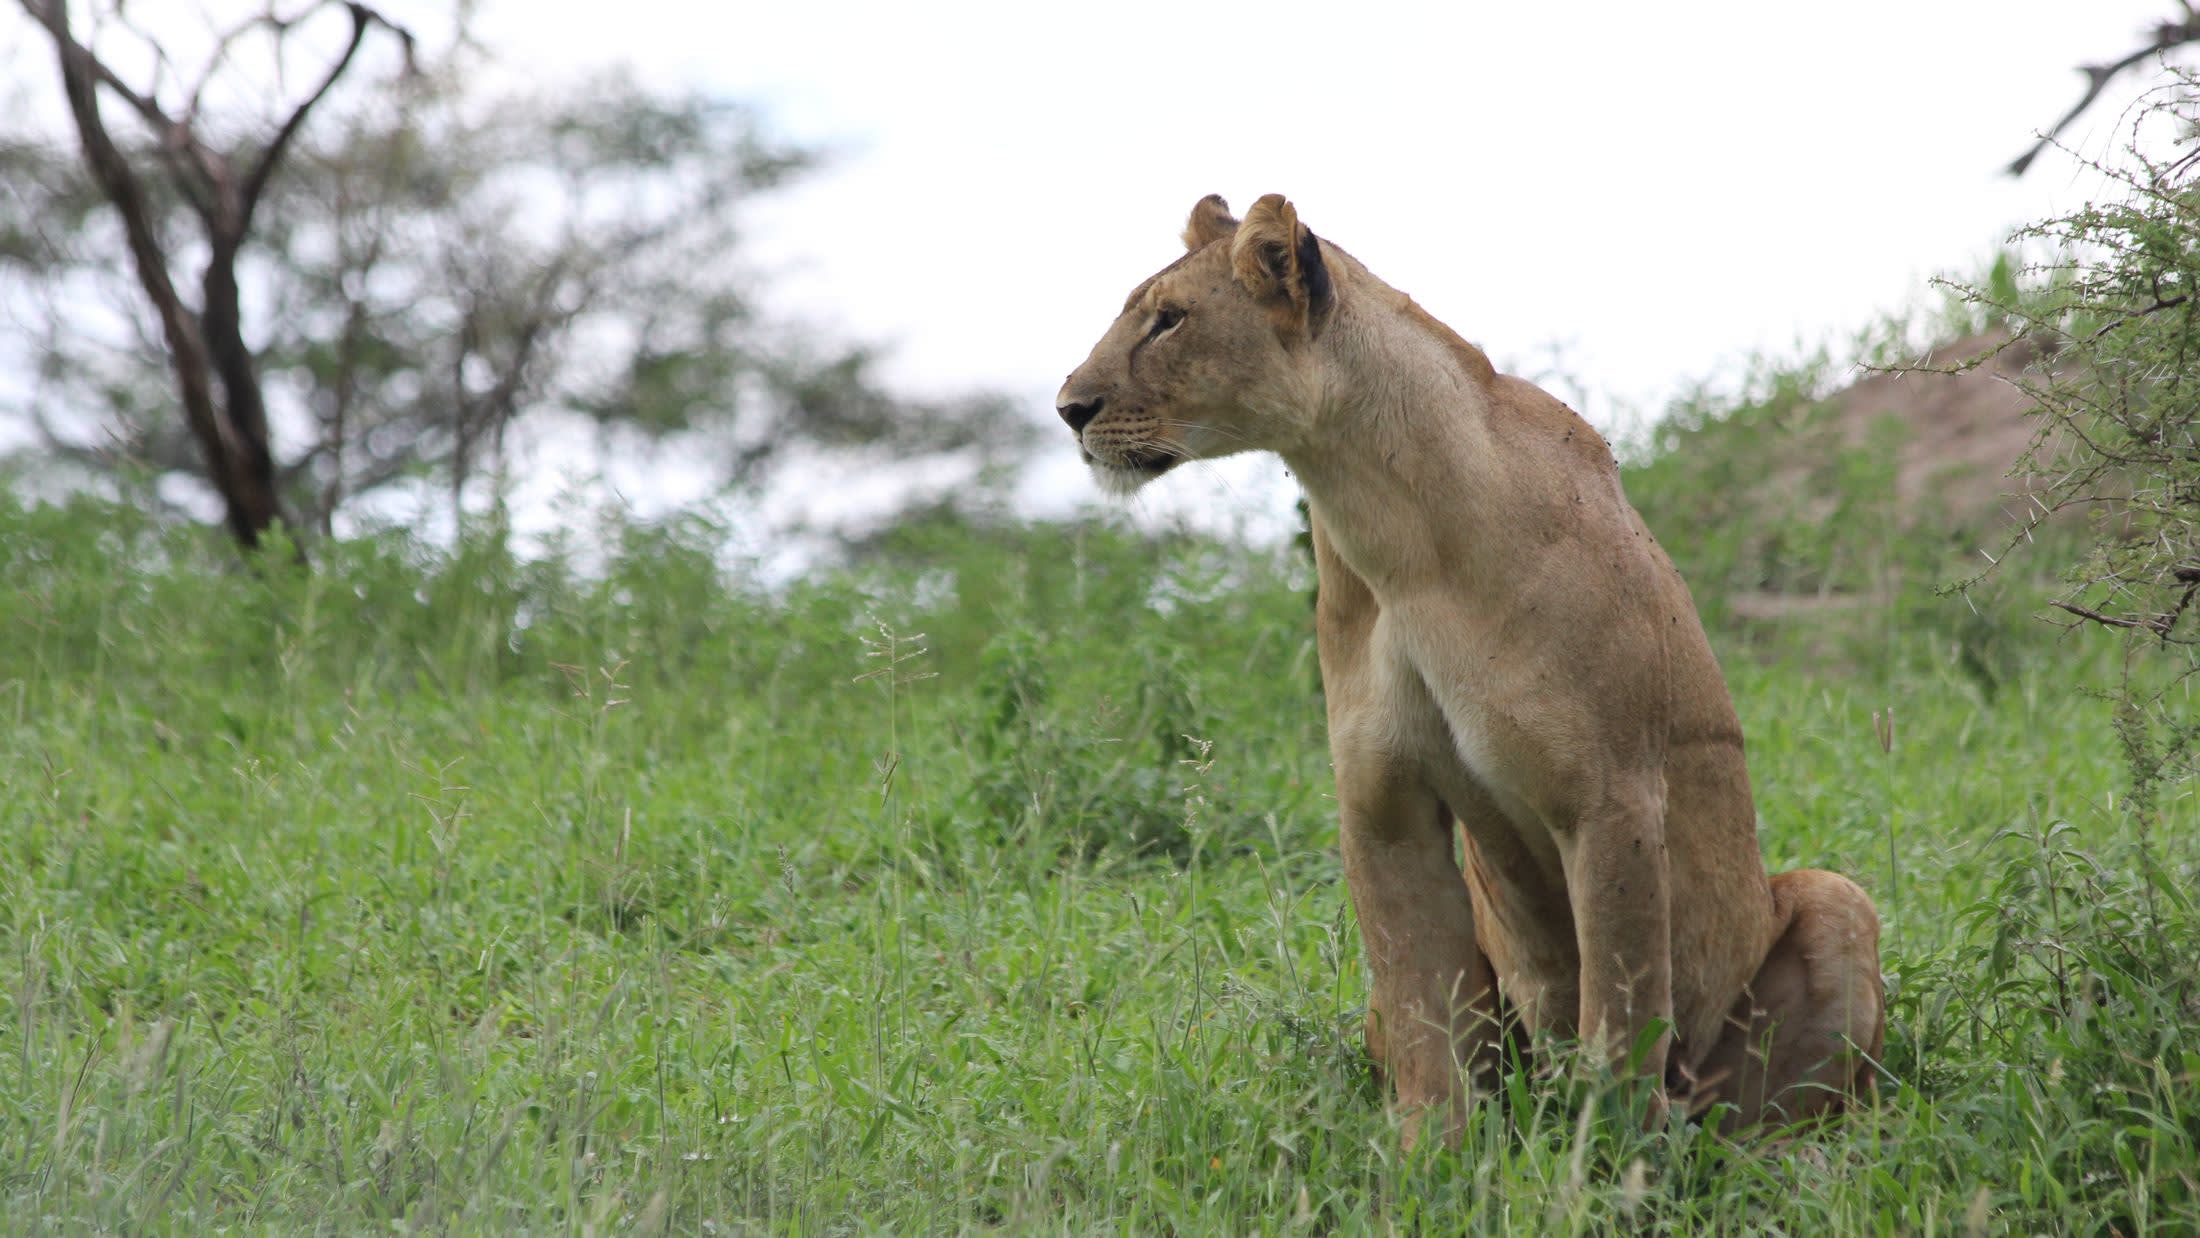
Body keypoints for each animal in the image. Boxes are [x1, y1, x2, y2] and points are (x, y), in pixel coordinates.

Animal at [1056, 193, 1885, 1144]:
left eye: (1169, 320)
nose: (1068, 408)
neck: (1387, 524)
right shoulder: (1382, 801)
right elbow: (1425, 1009)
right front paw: (1428, 1160)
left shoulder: (1612, 796)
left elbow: (1621, 1016)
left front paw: (1606, 1163)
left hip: (1834, 904)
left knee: (1770, 1115)